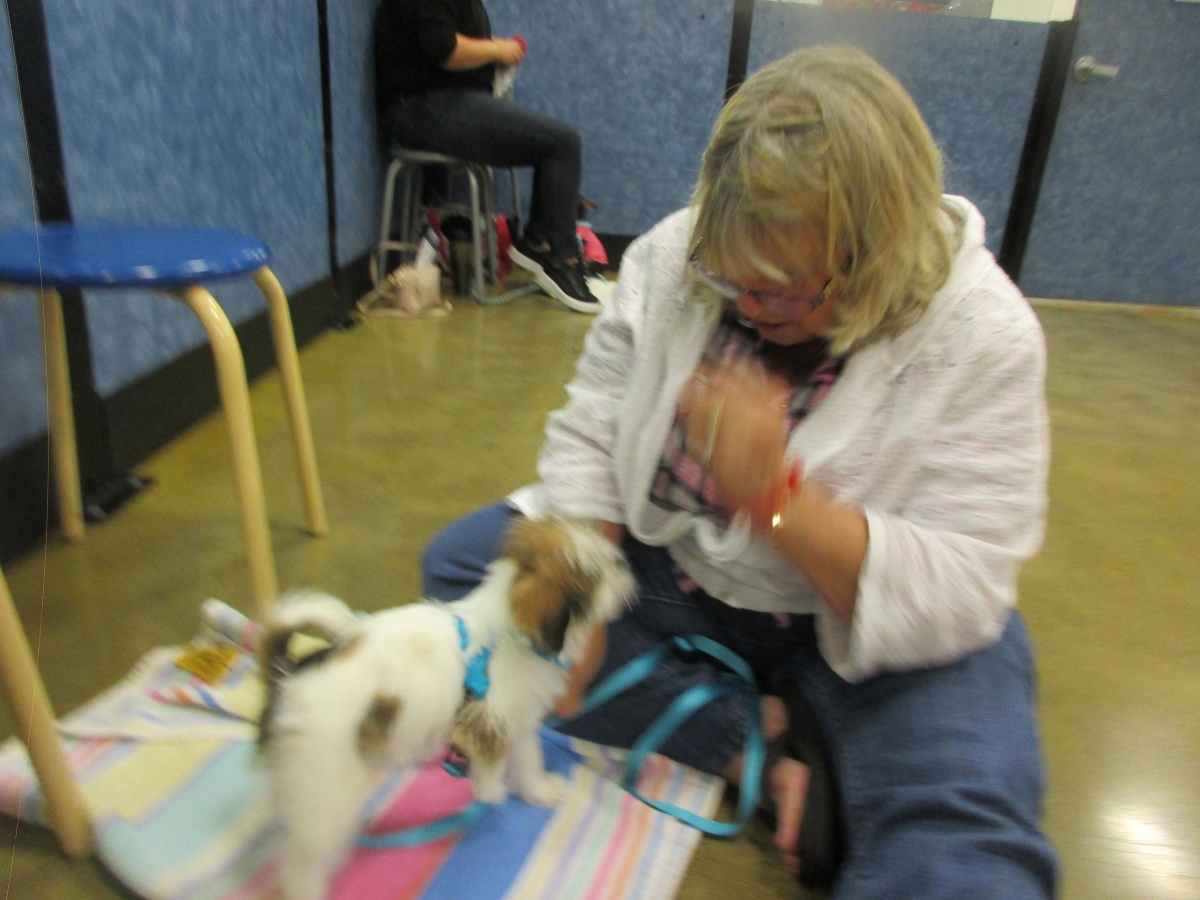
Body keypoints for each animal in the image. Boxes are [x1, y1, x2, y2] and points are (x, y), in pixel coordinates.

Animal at [257, 518, 635, 900]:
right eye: (594, 573)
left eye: (604, 552)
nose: (621, 561)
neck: (505, 629)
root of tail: (287, 677)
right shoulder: (495, 717)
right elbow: (505, 759)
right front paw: (493, 790)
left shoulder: (518, 719)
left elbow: (528, 758)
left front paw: (537, 790)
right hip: (326, 784)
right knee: (302, 860)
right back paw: (310, 884)